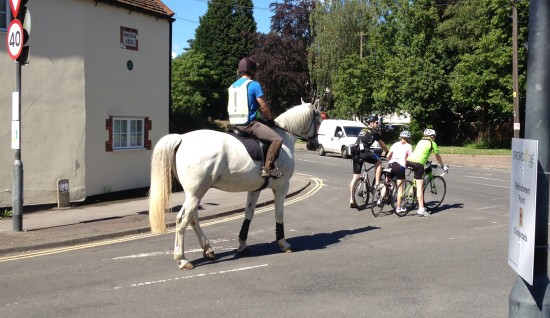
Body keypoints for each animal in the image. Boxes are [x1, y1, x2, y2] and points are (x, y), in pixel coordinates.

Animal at [151, 100, 324, 270]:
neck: (284, 136)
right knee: (182, 220)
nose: (314, 145)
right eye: (319, 121)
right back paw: (182, 258)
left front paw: (242, 244)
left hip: (195, 193)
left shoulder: (255, 189)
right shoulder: (282, 187)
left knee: (192, 218)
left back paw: (208, 249)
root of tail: (182, 138)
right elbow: (279, 214)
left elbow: (248, 214)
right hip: (195, 193)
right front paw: (283, 243)